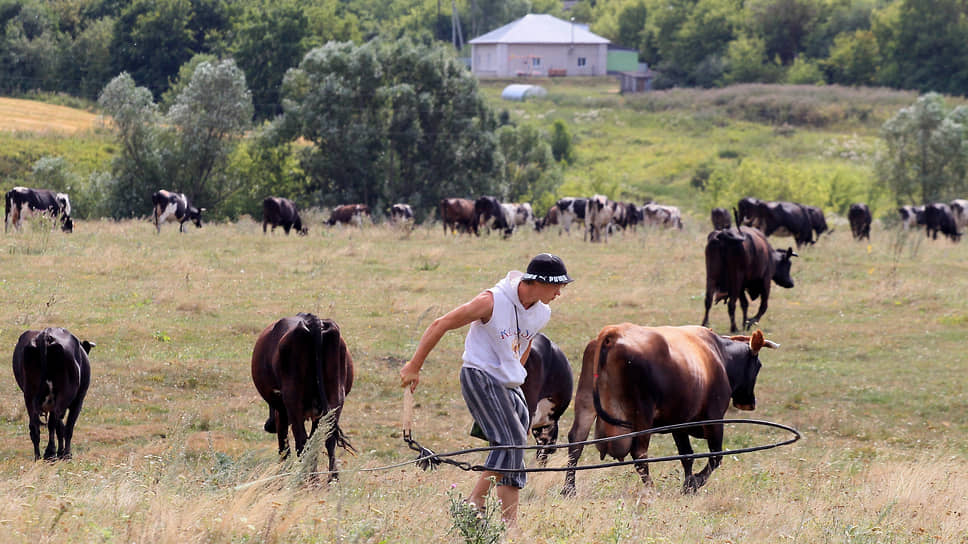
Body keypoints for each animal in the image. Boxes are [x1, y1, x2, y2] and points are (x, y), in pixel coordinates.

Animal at [12, 328, 93, 460]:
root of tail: (46, 334)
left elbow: (60, 428)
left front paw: (61, 453)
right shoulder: (78, 400)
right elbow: (67, 427)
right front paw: (66, 454)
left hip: (29, 395)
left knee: (34, 426)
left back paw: (38, 457)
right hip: (64, 395)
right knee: (54, 423)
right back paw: (50, 453)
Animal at [251, 314, 354, 480]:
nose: (268, 425)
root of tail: (313, 321)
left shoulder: (281, 412)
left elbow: (284, 447)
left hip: (293, 402)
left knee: (301, 442)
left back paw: (305, 480)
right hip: (336, 398)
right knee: (327, 439)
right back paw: (330, 480)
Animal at [560, 326, 780, 496]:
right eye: (758, 365)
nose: (750, 403)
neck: (718, 355)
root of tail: (613, 333)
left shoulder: (679, 423)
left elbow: (687, 456)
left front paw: (688, 484)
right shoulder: (714, 418)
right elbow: (716, 456)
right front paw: (694, 483)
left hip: (585, 403)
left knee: (576, 443)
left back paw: (569, 490)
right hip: (642, 414)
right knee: (640, 454)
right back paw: (651, 490)